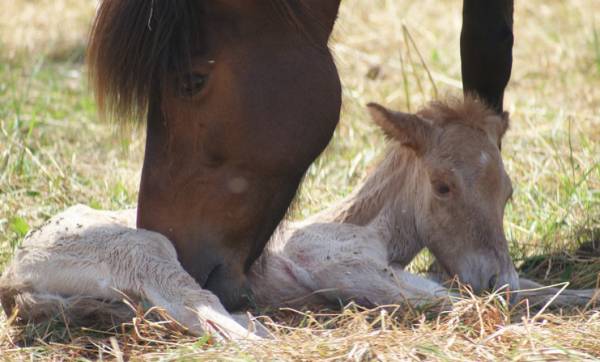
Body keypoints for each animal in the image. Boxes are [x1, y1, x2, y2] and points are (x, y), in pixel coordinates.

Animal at [2, 97, 596, 338]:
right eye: (443, 185)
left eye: (508, 192)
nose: (494, 271)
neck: (363, 225)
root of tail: (15, 272)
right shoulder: (333, 262)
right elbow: (459, 301)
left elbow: (539, 292)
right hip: (145, 252)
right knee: (202, 311)